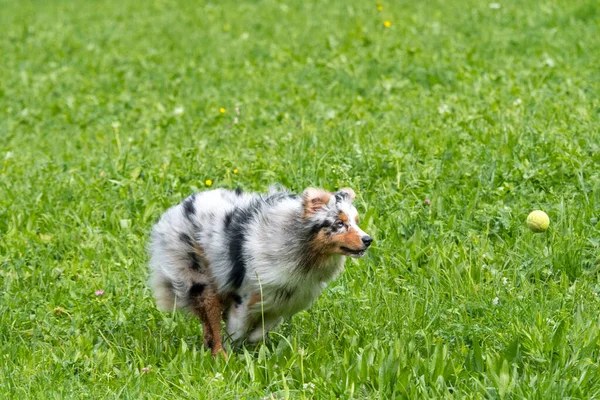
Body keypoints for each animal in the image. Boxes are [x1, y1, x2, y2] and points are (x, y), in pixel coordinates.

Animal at [148, 186, 372, 354]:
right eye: (339, 223)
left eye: (356, 222)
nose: (368, 240)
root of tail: (175, 209)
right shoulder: (245, 297)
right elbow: (236, 331)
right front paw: (234, 352)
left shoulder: (284, 300)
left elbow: (262, 329)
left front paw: (254, 341)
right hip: (200, 282)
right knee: (211, 321)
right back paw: (219, 354)